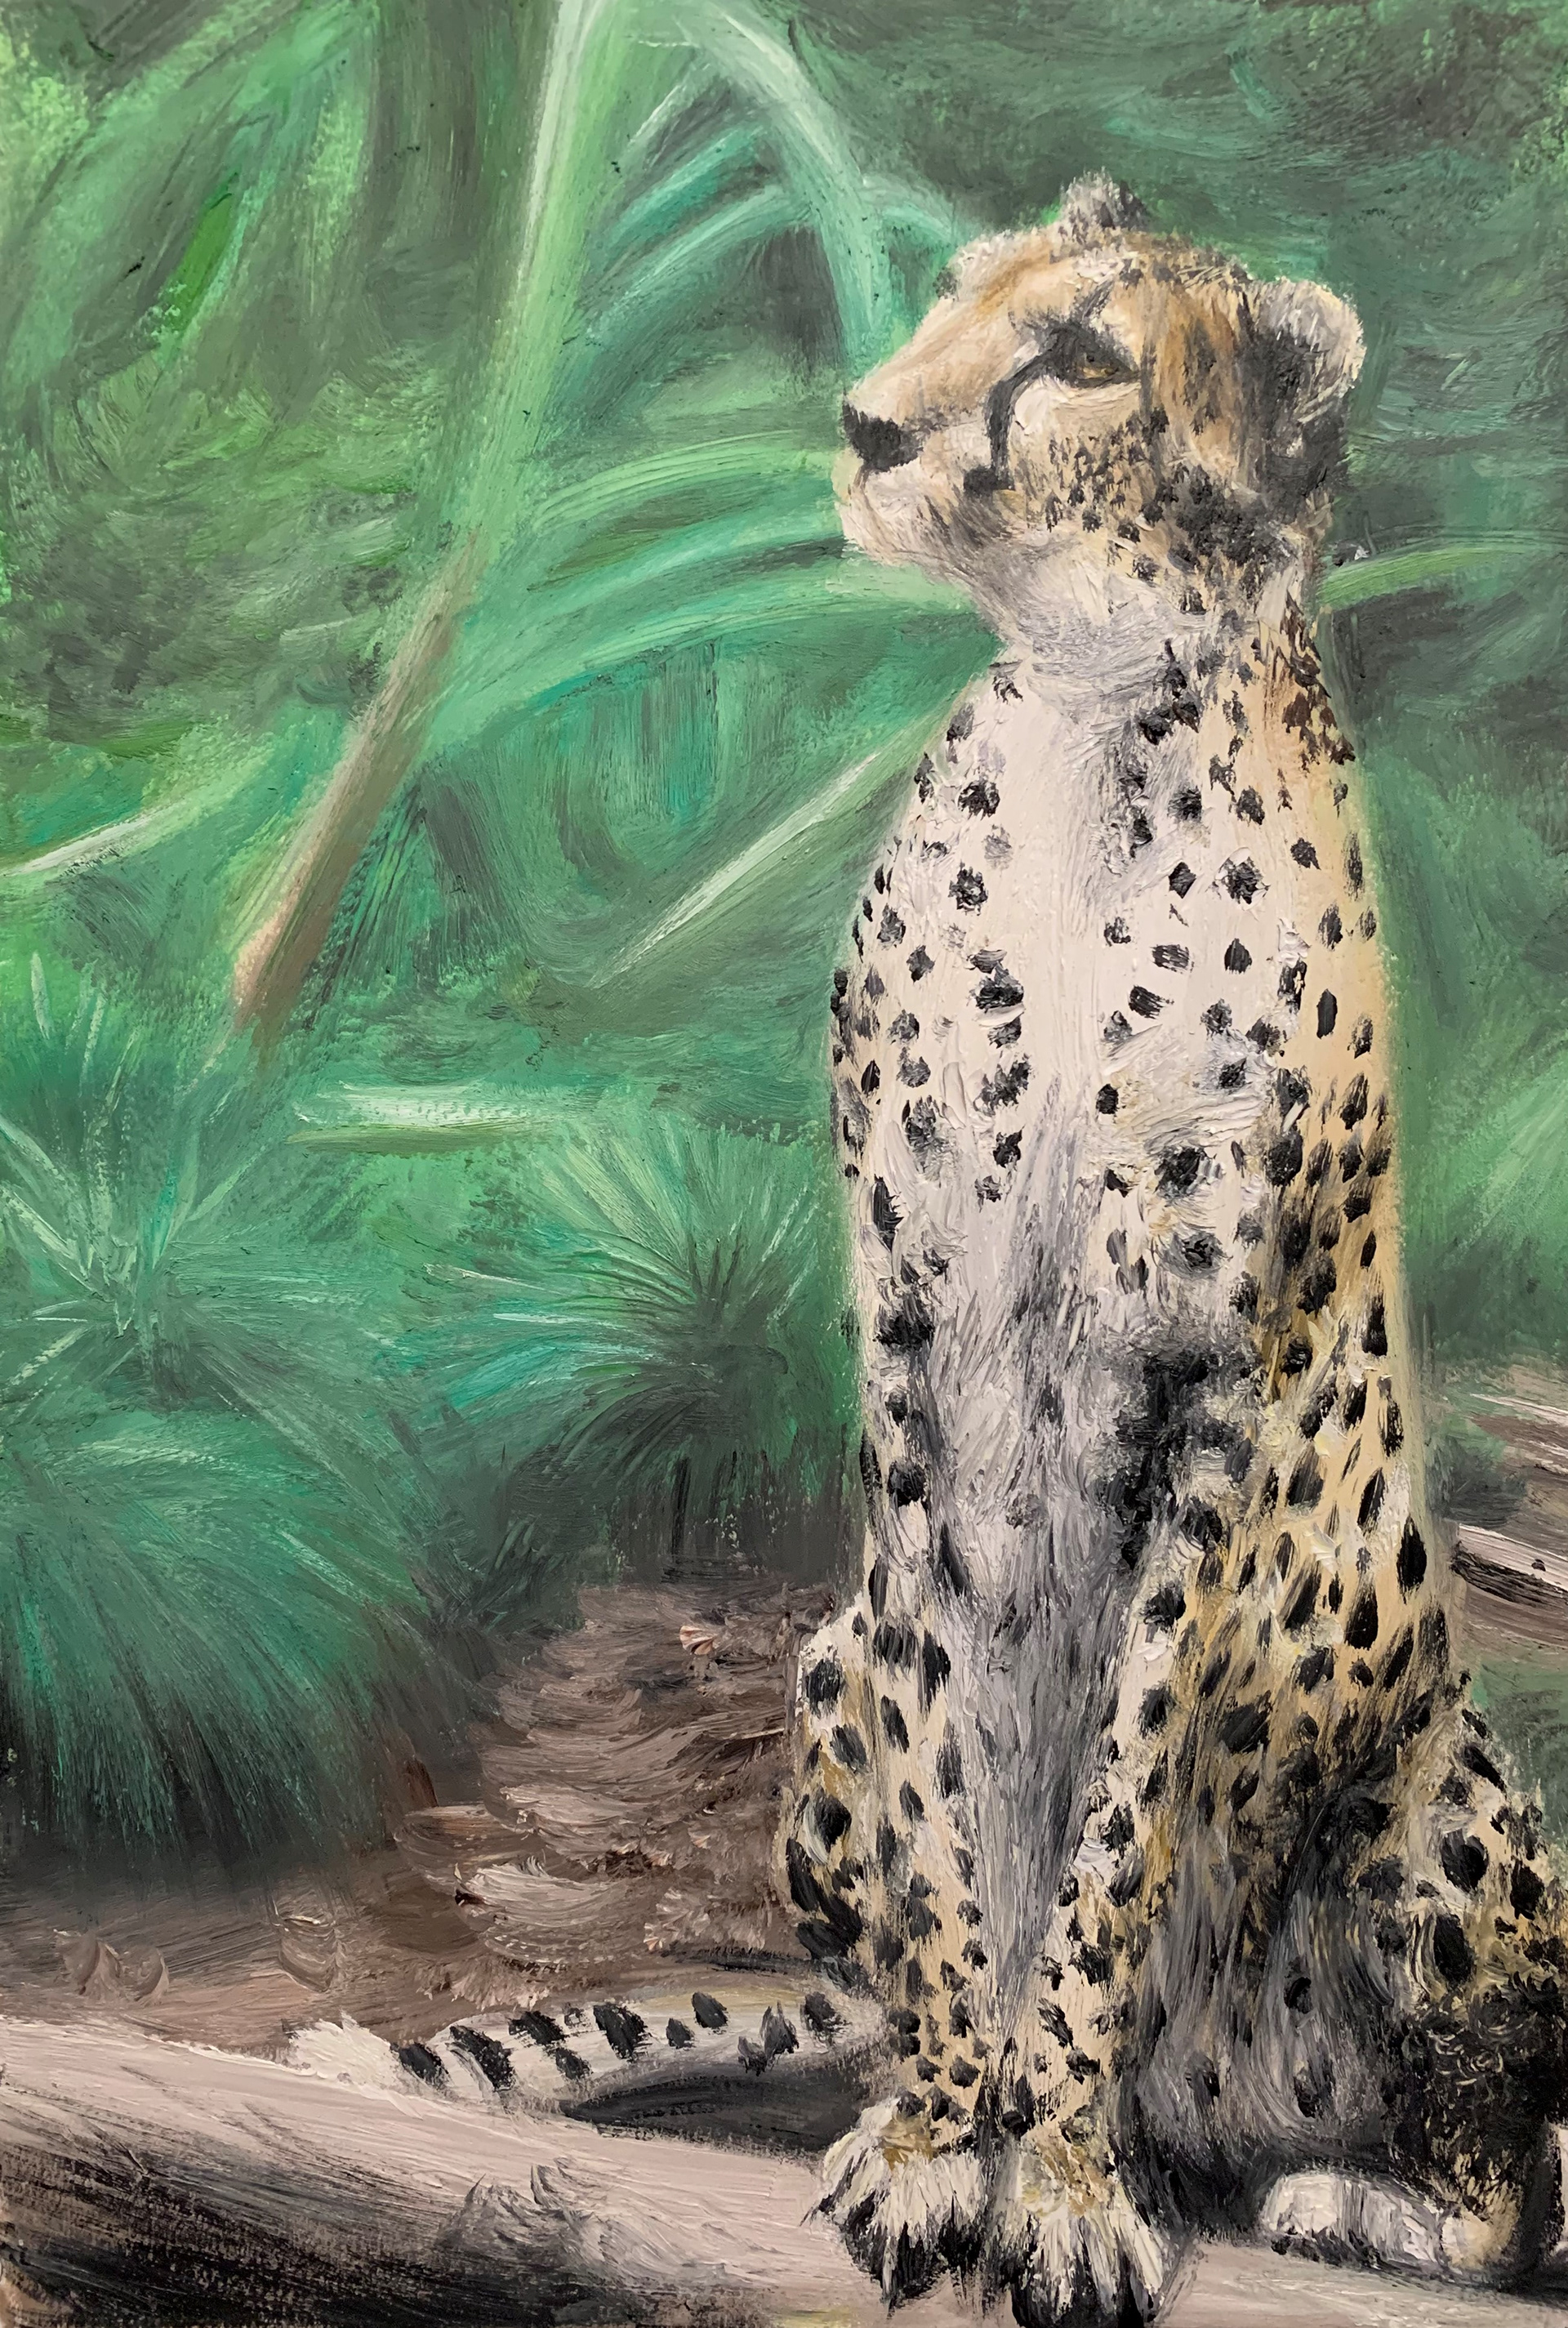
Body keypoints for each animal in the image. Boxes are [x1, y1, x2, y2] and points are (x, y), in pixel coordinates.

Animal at [778, 175, 1568, 2325]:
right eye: (958, 296)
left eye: (1080, 360)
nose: (870, 425)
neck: (1083, 729)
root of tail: (1215, 2104)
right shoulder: (907, 1352)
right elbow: (941, 1796)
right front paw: (935, 2137)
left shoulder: (1217, 1391)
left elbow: (1116, 1829)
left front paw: (1054, 2174)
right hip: (808, 1684)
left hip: (1434, 1801)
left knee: (1506, 2166)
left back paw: (1344, 2198)